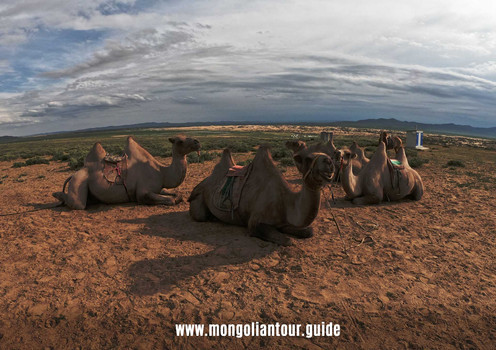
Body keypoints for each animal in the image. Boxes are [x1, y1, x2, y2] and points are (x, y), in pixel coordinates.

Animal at [53, 135, 201, 209]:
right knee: (77, 204)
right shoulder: (142, 193)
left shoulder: (158, 188)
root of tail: (72, 175)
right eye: (180, 141)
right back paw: (56, 195)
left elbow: (177, 195)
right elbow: (171, 200)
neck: (162, 172)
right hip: (78, 181)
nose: (197, 142)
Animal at [188, 144, 336, 245]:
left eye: (328, 156)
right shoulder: (254, 222)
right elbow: (287, 241)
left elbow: (309, 232)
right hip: (198, 200)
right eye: (309, 158)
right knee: (201, 215)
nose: (329, 161)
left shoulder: (283, 221)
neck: (286, 202)